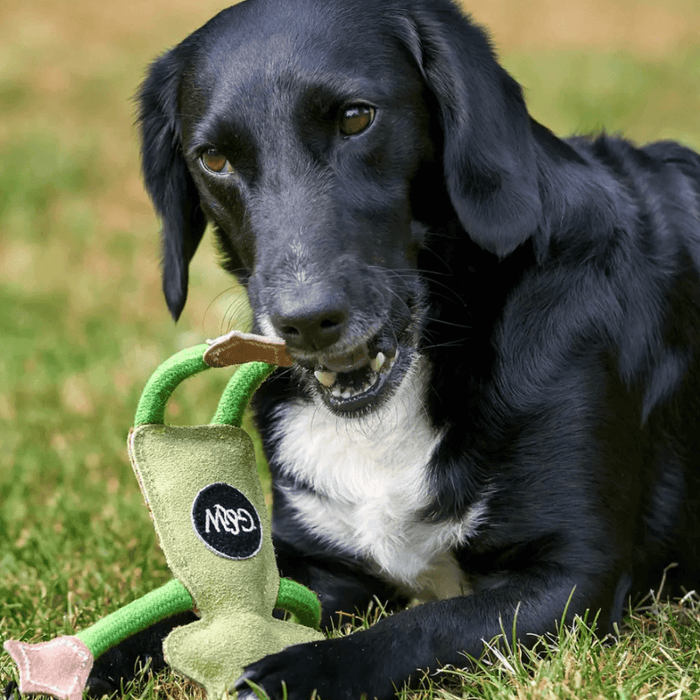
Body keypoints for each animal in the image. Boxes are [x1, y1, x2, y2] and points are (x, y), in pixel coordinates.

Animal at [97, 0, 700, 696]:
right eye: (214, 159)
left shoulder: (573, 576)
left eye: (357, 118)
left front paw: (302, 670)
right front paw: (78, 660)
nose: (304, 322)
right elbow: (164, 622)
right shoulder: (317, 565)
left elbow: (420, 626)